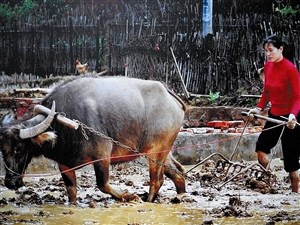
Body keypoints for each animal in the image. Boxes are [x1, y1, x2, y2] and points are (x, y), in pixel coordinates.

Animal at [0, 76, 186, 203]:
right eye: (3, 150)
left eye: (19, 147)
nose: (10, 182)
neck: (61, 123)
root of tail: (170, 96)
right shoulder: (64, 164)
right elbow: (71, 190)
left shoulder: (102, 155)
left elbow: (103, 184)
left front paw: (129, 196)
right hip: (162, 151)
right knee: (178, 171)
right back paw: (180, 196)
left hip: (156, 151)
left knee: (157, 180)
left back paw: (148, 200)